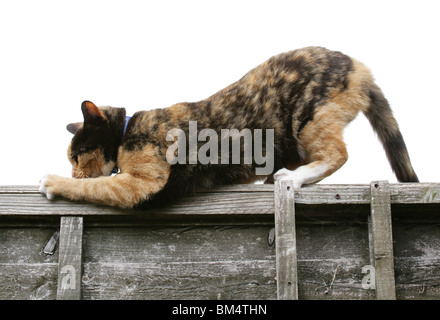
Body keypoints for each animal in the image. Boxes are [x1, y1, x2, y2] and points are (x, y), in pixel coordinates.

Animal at [39, 47, 418, 208]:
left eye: (75, 157)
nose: (72, 172)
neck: (125, 133)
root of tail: (360, 67)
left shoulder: (143, 182)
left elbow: (97, 186)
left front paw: (54, 182)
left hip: (309, 118)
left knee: (337, 155)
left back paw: (290, 178)